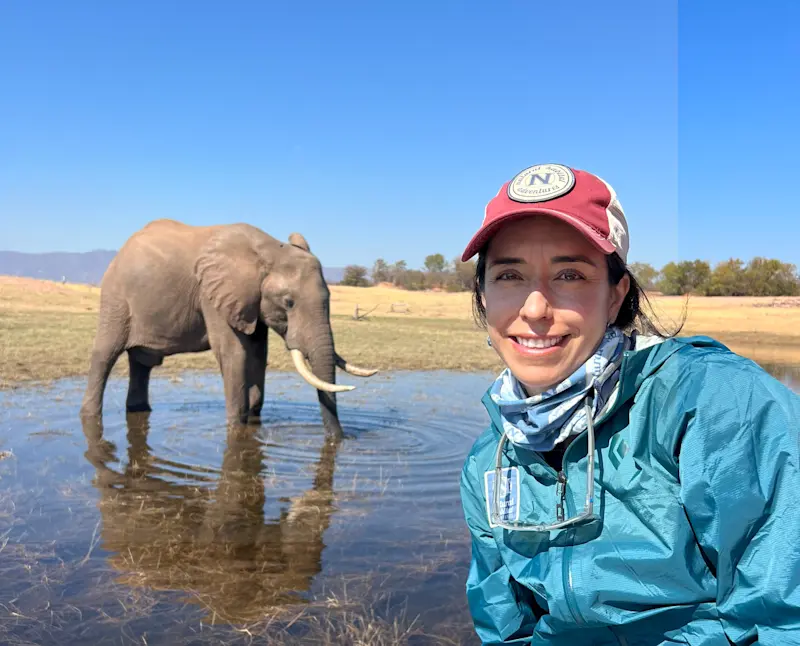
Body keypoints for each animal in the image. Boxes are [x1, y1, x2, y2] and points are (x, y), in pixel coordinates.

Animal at [79, 219, 377, 433]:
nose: (338, 439)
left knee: (141, 363)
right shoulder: (213, 295)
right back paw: (90, 416)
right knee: (105, 354)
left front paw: (253, 419)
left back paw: (139, 409)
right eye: (289, 302)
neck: (269, 249)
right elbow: (234, 353)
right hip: (116, 298)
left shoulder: (252, 303)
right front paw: (236, 427)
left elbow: (258, 354)